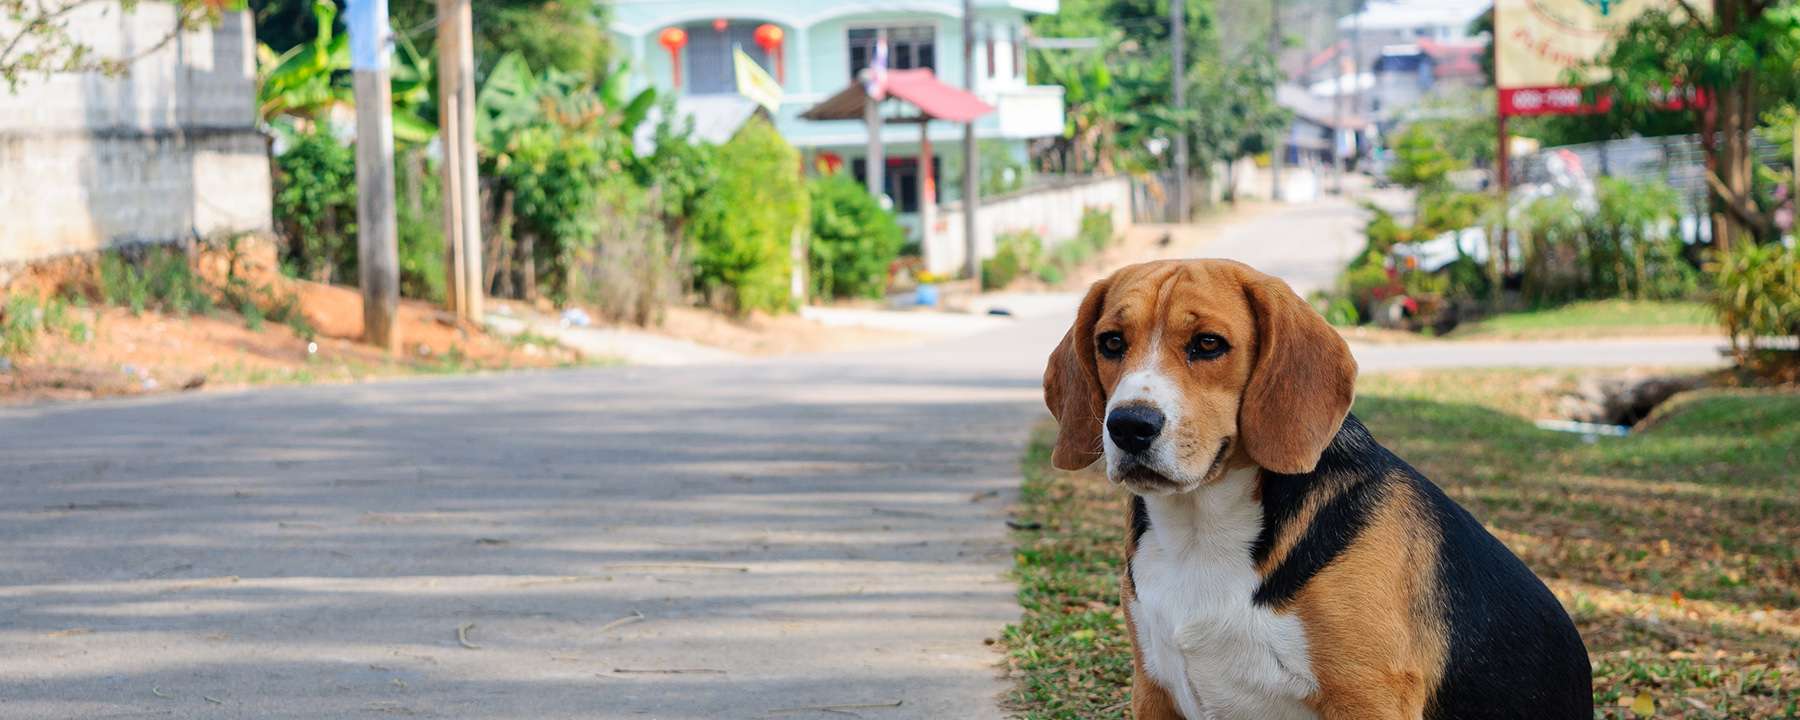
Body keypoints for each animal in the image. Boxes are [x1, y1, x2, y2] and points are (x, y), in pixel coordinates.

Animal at [1044, 261, 1591, 720]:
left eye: (1208, 344)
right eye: (1111, 342)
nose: (1128, 426)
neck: (1201, 532)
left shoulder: (1366, 698)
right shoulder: (1154, 691)